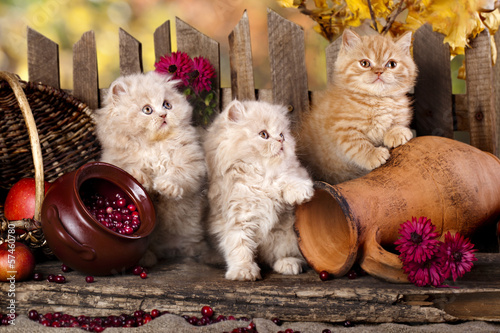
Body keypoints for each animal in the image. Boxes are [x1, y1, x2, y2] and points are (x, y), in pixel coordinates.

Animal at [94, 70, 207, 264]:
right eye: (147, 110)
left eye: (167, 105)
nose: (163, 115)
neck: (154, 146)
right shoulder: (117, 160)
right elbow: (132, 170)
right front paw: (142, 179)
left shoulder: (189, 160)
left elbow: (178, 174)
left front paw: (166, 186)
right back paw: (147, 259)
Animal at [203, 99, 312, 280]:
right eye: (263, 135)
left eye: (282, 135)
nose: (281, 141)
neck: (258, 176)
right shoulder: (235, 218)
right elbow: (239, 246)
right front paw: (243, 271)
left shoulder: (292, 173)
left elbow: (285, 178)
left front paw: (301, 192)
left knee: (288, 254)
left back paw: (288, 263)